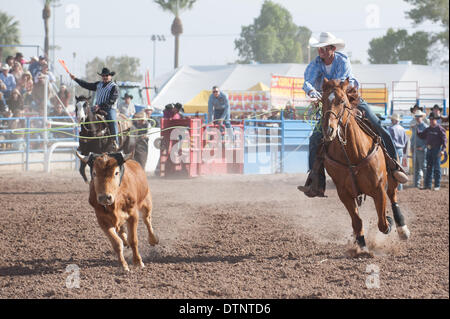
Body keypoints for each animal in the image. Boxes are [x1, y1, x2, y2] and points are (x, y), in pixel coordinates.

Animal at [318, 78, 410, 252]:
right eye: (322, 100)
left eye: (342, 101)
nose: (329, 130)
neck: (352, 154)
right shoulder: (344, 194)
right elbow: (357, 221)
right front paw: (361, 245)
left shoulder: (379, 189)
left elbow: (382, 223)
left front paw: (389, 221)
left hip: (391, 179)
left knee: (393, 196)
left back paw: (402, 229)